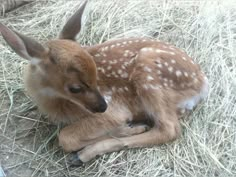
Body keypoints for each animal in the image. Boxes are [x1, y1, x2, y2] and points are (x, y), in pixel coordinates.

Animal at [0, 0, 208, 165]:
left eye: (96, 76)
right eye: (75, 88)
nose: (102, 106)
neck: (53, 101)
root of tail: (203, 84)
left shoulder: (114, 111)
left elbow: (65, 137)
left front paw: (126, 128)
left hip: (148, 74)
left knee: (169, 129)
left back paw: (85, 154)